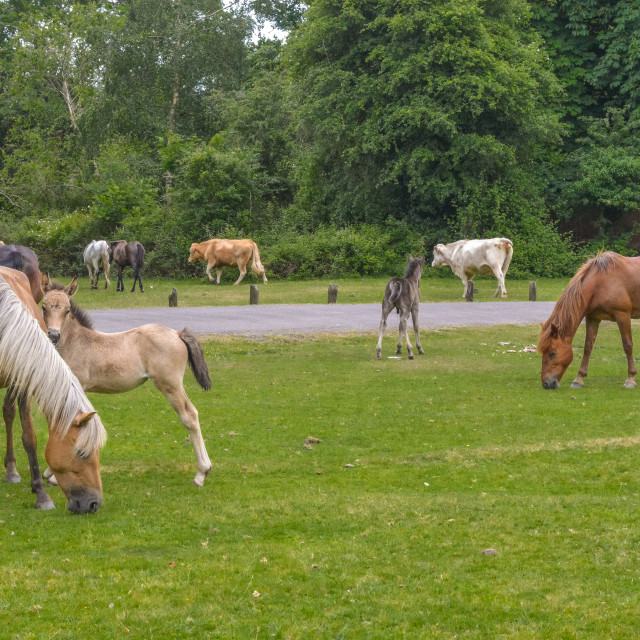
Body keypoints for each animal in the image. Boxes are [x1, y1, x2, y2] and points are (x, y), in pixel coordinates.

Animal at [0, 268, 106, 512]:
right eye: (81, 452)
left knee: (8, 412)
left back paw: (11, 470)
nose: (94, 504)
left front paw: (40, 493)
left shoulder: (24, 381)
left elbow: (29, 437)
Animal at [42, 276, 212, 484]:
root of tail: (177, 334)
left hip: (170, 386)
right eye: (44, 307)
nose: (53, 335)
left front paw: (54, 476)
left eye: (66, 310)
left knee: (190, 416)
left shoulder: (77, 387)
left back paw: (202, 473)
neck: (76, 342)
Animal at [536, 251, 640, 390]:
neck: (601, 282)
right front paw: (578, 379)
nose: (546, 384)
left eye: (552, 353)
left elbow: (627, 345)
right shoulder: (593, 317)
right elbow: (588, 347)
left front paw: (630, 378)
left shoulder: (622, 315)